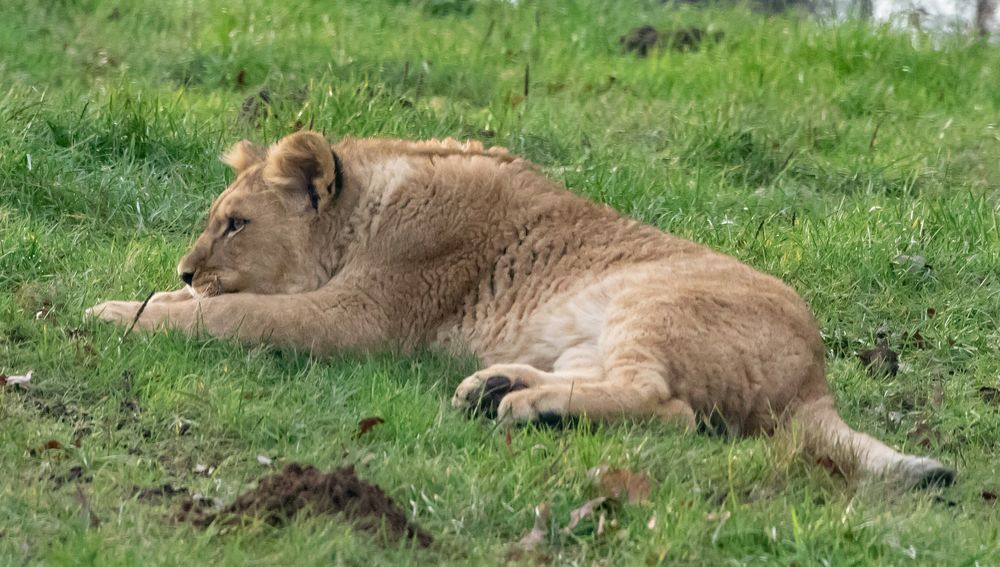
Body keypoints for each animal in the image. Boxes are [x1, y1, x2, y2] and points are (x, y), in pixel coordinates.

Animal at [92, 131, 952, 486]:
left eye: (235, 223)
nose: (186, 265)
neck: (374, 196)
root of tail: (817, 378)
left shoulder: (359, 317)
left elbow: (240, 315)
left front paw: (124, 313)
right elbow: (218, 306)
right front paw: (141, 298)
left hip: (655, 303)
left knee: (668, 408)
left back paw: (526, 408)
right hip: (587, 335)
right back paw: (498, 388)